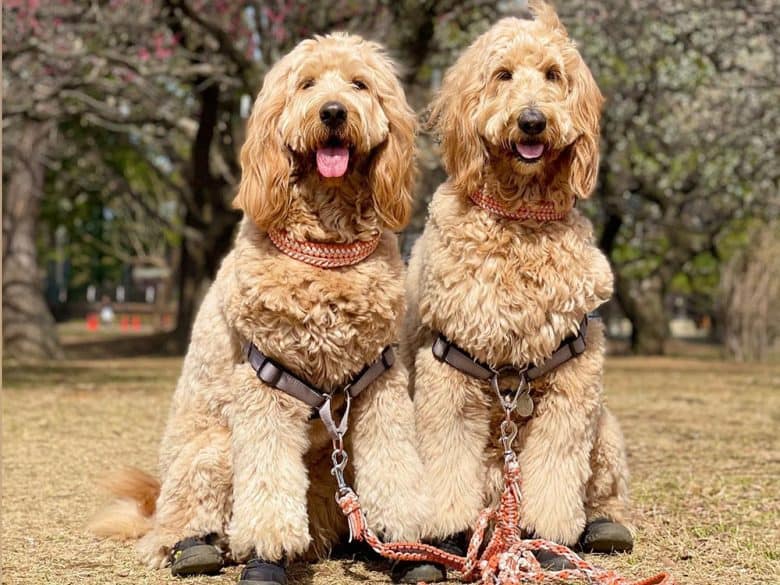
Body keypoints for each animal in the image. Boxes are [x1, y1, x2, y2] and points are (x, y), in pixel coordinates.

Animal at [93, 34, 430, 580]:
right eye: (307, 84)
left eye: (359, 84)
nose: (333, 112)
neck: (327, 252)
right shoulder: (265, 384)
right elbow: (269, 474)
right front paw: (270, 545)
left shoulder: (380, 382)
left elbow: (394, 463)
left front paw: (408, 537)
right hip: (211, 453)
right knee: (184, 523)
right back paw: (203, 547)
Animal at [400, 2, 632, 572]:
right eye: (503, 75)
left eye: (553, 75)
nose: (532, 120)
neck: (521, 219)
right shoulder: (448, 375)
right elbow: (446, 465)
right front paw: (444, 538)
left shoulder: (574, 382)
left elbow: (555, 471)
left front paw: (543, 537)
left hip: (605, 429)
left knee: (604, 489)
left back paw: (604, 527)